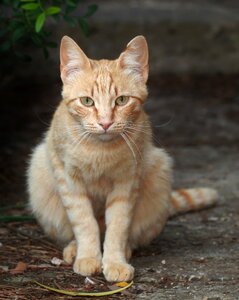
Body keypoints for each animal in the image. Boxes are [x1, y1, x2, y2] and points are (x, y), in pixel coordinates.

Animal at [27, 35, 218, 282]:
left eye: (122, 100)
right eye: (87, 101)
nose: (105, 123)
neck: (100, 149)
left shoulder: (127, 182)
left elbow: (118, 226)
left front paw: (115, 262)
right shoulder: (68, 178)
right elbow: (84, 222)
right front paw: (88, 257)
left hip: (159, 170)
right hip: (39, 169)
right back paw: (74, 249)